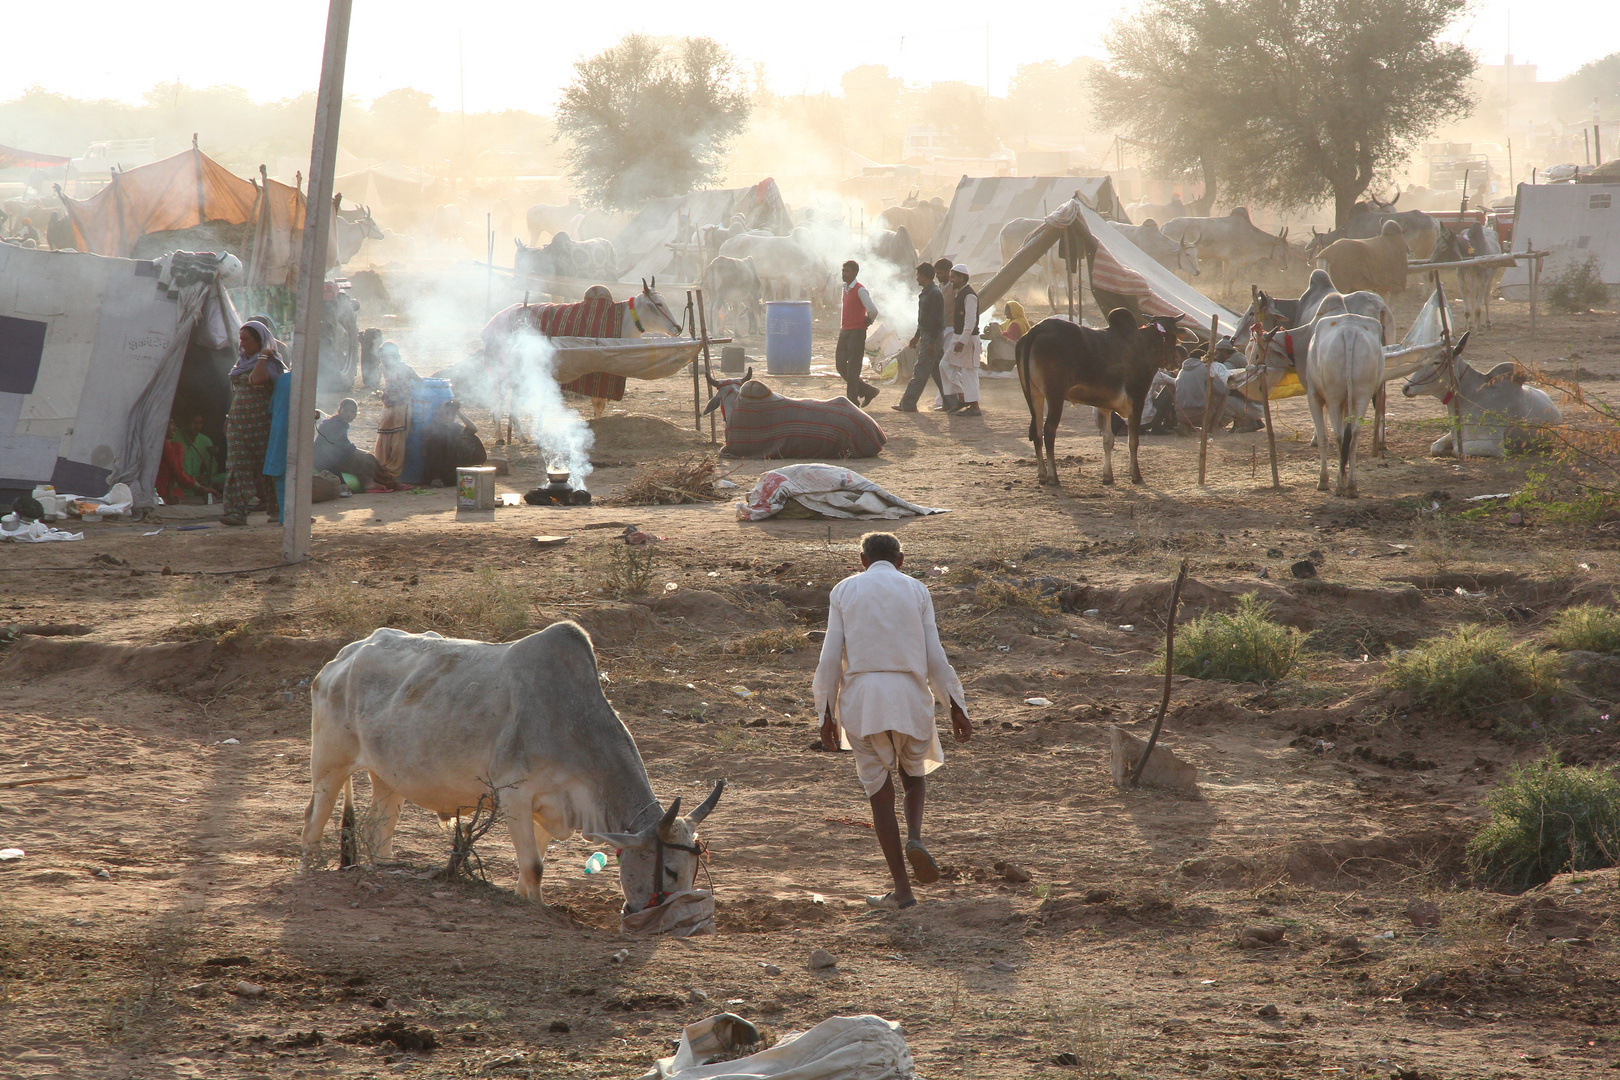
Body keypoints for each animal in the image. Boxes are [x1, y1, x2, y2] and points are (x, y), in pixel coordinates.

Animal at [306, 621, 725, 919]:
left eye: (693, 870)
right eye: (669, 870)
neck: (572, 722)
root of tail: (342, 657)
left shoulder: (550, 807)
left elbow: (532, 865)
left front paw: (523, 897)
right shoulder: (514, 796)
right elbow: (534, 866)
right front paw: (536, 908)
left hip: (389, 779)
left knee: (377, 830)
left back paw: (387, 869)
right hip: (329, 765)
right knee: (315, 818)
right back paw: (310, 870)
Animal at [1017, 307, 1185, 485]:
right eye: (1173, 337)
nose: (1175, 362)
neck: (1144, 344)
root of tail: (1039, 328)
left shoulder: (1104, 405)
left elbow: (1108, 440)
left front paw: (1108, 476)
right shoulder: (1136, 399)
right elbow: (1133, 441)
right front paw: (1136, 475)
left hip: (1033, 394)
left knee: (1036, 431)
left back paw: (1042, 475)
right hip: (1055, 396)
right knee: (1049, 431)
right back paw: (1053, 477)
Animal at [1296, 296, 1386, 498]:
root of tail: (1349, 330)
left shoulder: (1314, 396)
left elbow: (1323, 438)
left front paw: (1324, 480)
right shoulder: (1348, 402)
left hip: (1333, 396)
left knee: (1337, 435)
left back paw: (1339, 484)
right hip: (1362, 394)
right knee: (1354, 434)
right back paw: (1351, 485)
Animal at [1399, 335, 1561, 459]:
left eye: (1436, 362)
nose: (1406, 388)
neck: (1471, 397)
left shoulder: (1493, 445)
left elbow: (1457, 451)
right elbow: (1435, 447)